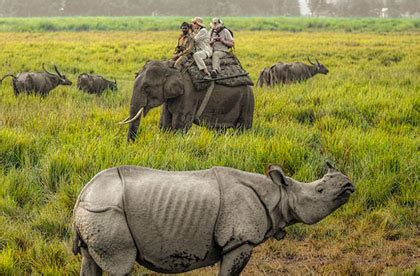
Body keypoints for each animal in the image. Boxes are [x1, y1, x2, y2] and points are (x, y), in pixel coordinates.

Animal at [74, 163, 352, 274]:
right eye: (319, 190)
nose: (348, 185)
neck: (279, 194)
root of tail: (82, 195)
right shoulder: (239, 241)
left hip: (94, 213)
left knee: (90, 261)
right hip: (105, 212)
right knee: (120, 265)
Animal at [120, 60, 254, 142]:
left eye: (147, 87)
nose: (131, 145)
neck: (170, 68)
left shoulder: (188, 94)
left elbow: (180, 124)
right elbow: (165, 123)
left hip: (247, 101)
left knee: (243, 128)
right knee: (219, 129)